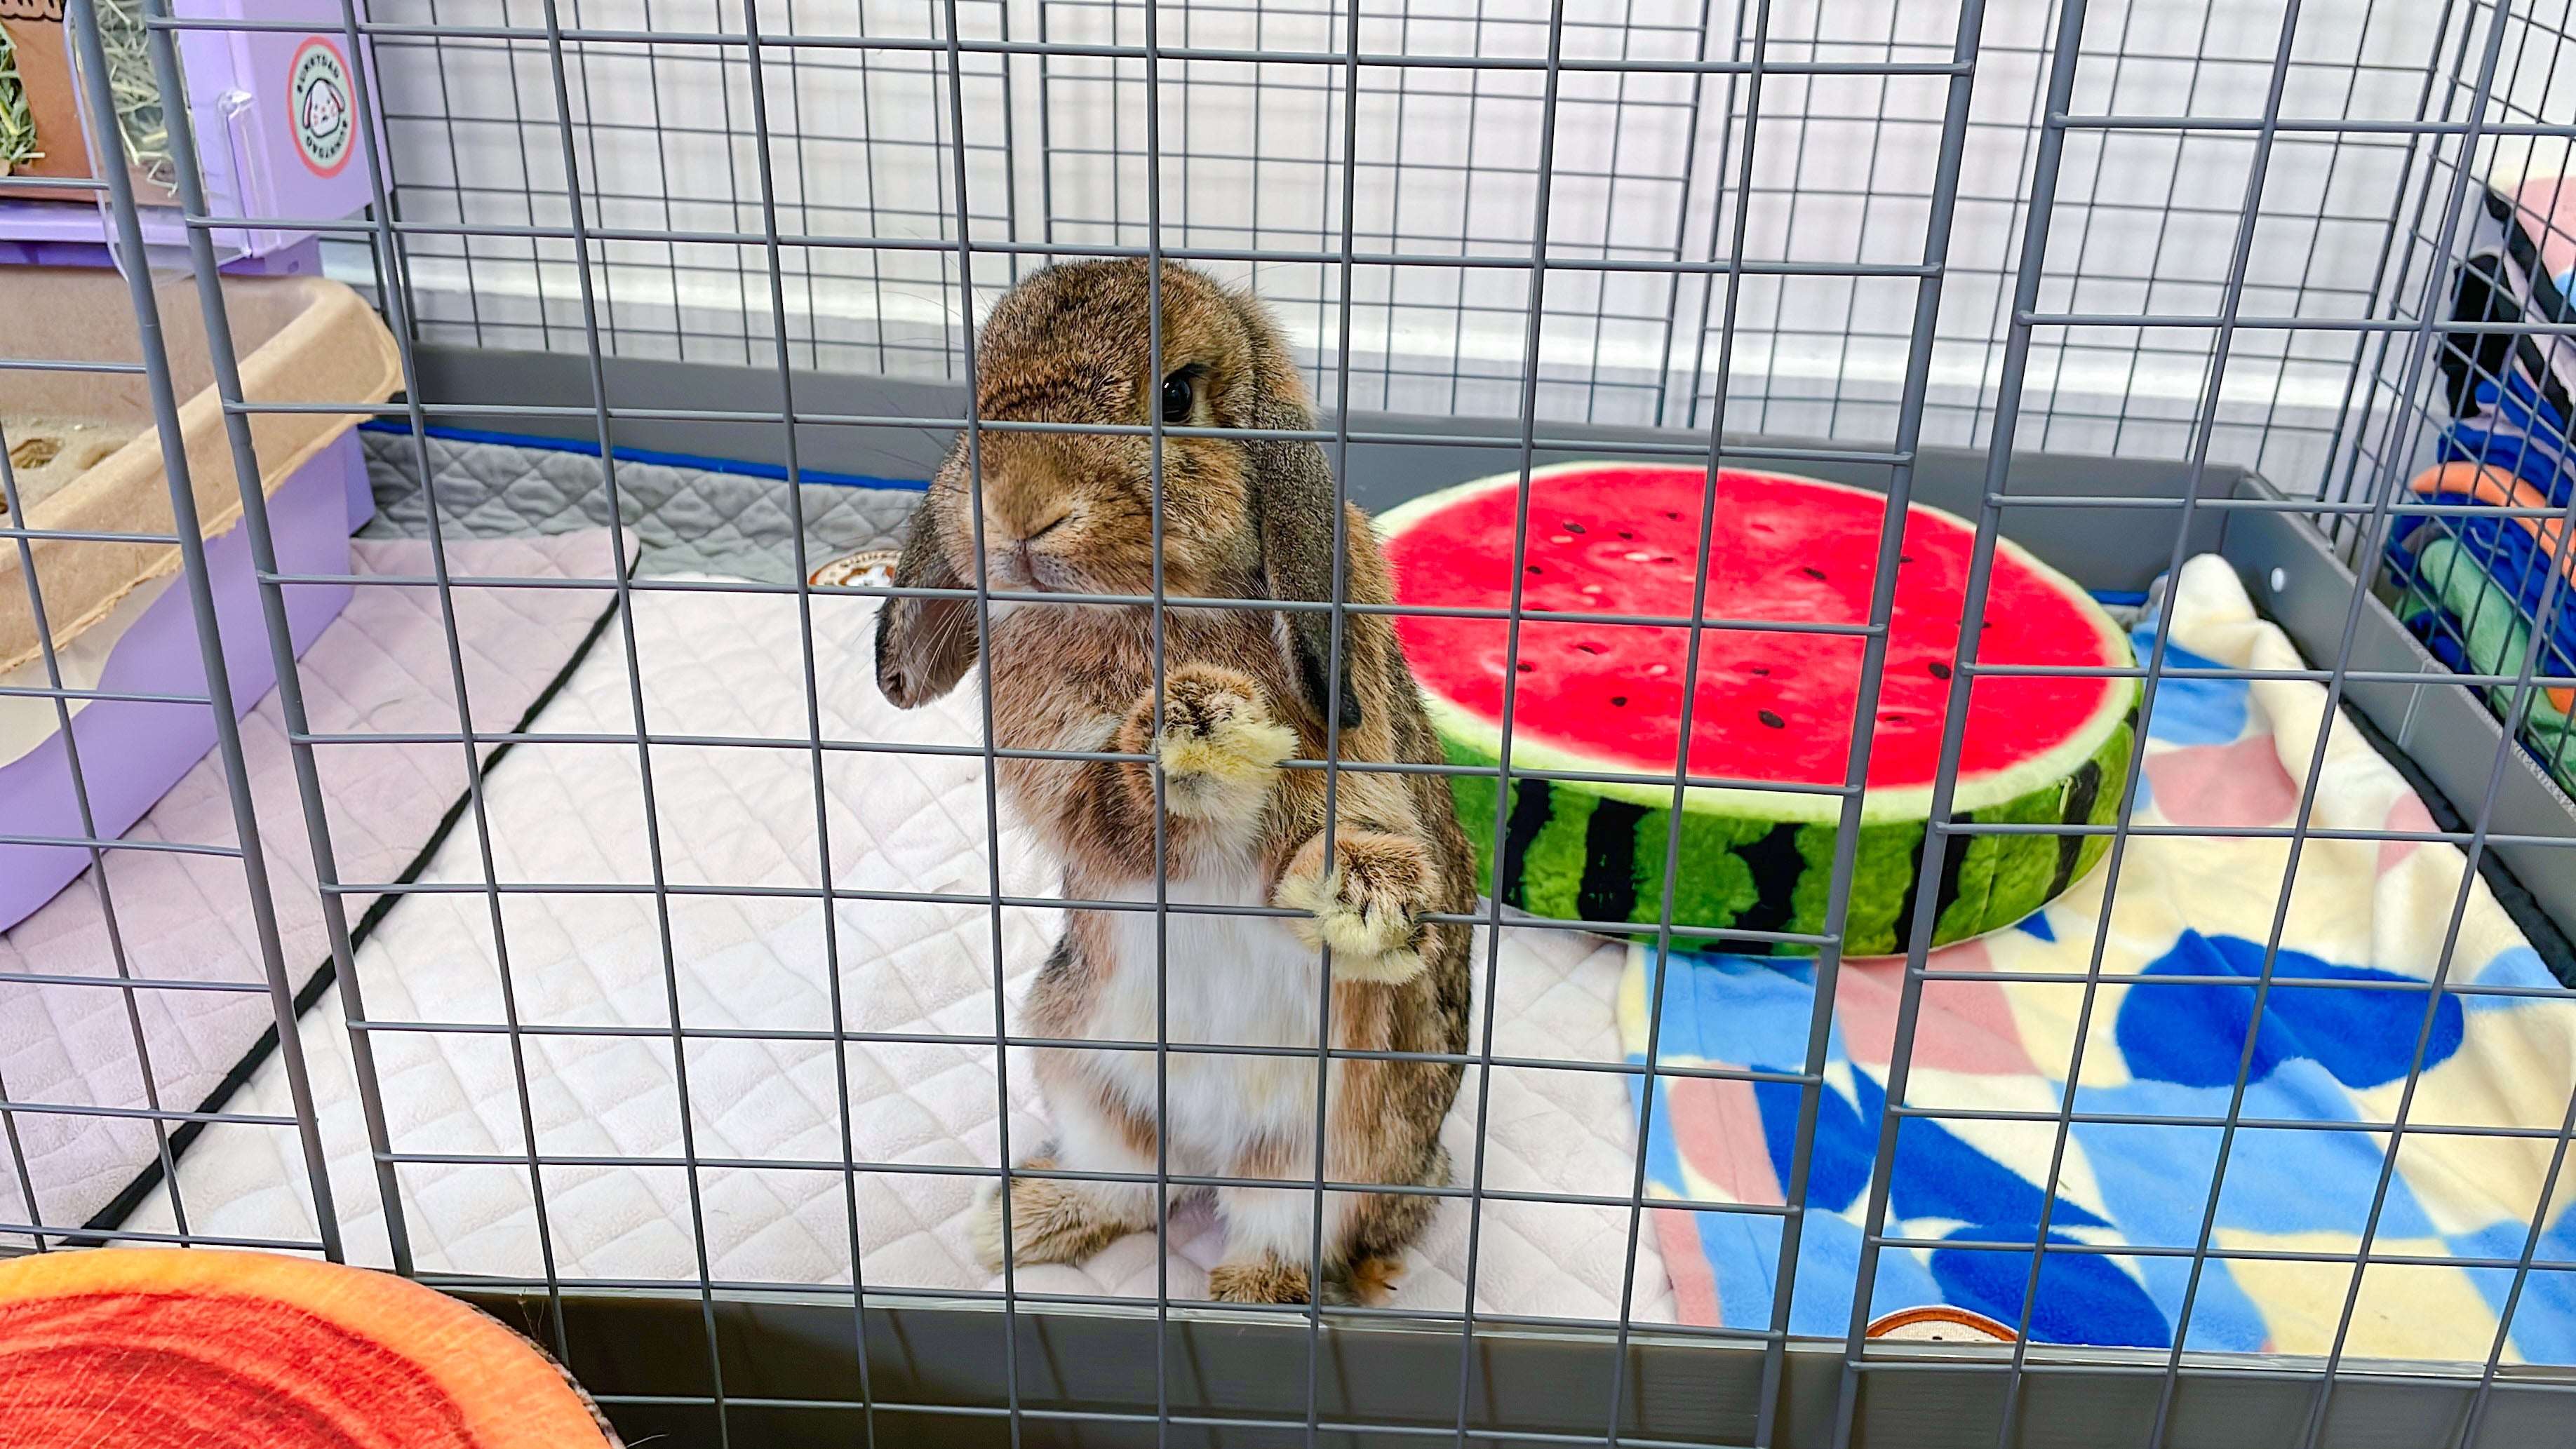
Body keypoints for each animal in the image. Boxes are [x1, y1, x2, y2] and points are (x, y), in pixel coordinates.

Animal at [871, 264, 1473, 1317]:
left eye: (1175, 397)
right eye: (978, 397)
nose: (1019, 510)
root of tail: (1209, 1148)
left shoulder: (1351, 763)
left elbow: (1331, 836)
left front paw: (1370, 901)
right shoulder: (1061, 779)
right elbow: (1113, 818)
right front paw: (1195, 731)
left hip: (1336, 1149)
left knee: (1280, 1233)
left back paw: (1242, 1301)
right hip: (1080, 1065)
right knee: (1135, 1190)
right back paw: (1025, 1220)